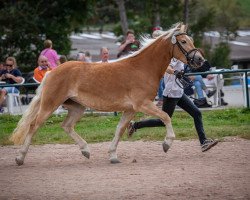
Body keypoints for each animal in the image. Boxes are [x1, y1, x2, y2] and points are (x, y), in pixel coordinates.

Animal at [10, 22, 205, 165]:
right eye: (184, 42)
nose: (200, 60)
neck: (142, 68)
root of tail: (51, 72)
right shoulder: (143, 104)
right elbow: (165, 117)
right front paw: (166, 143)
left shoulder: (130, 109)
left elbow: (120, 129)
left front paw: (113, 156)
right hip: (50, 105)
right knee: (33, 126)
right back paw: (20, 158)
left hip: (77, 107)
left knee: (66, 126)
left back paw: (86, 151)